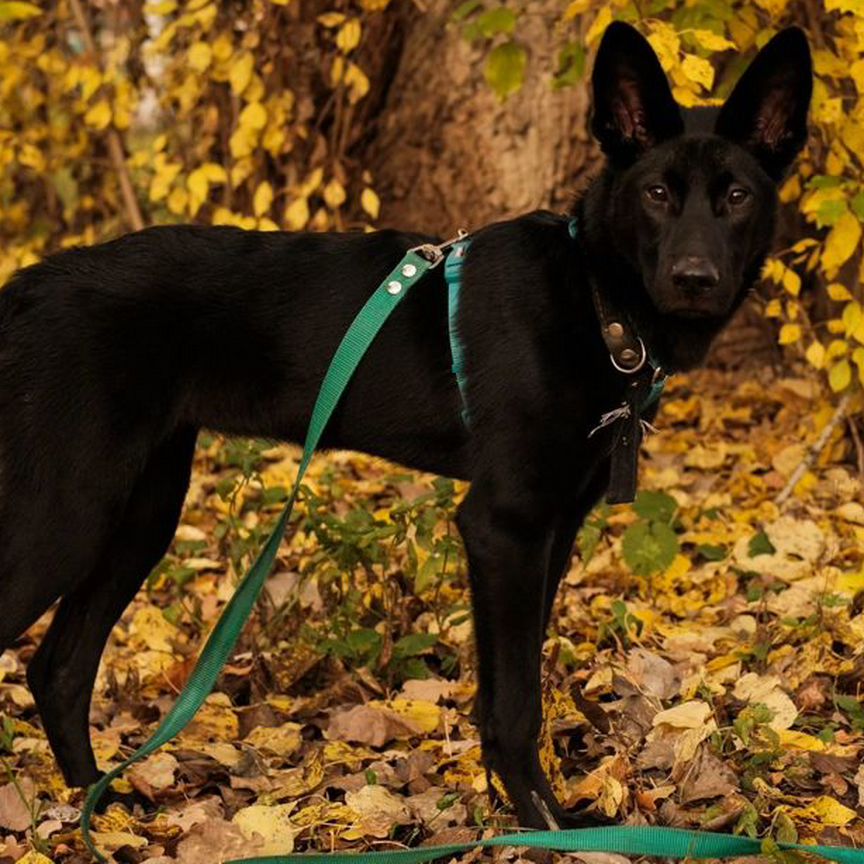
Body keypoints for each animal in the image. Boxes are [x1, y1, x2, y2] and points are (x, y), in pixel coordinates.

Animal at [0, 23, 808, 828]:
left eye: (736, 196)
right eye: (656, 193)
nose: (695, 279)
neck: (594, 295)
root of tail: (28, 286)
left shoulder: (552, 530)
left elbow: (507, 689)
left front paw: (516, 810)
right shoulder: (504, 525)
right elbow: (516, 703)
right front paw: (543, 824)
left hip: (141, 511)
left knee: (59, 669)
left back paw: (98, 808)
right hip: (66, 514)